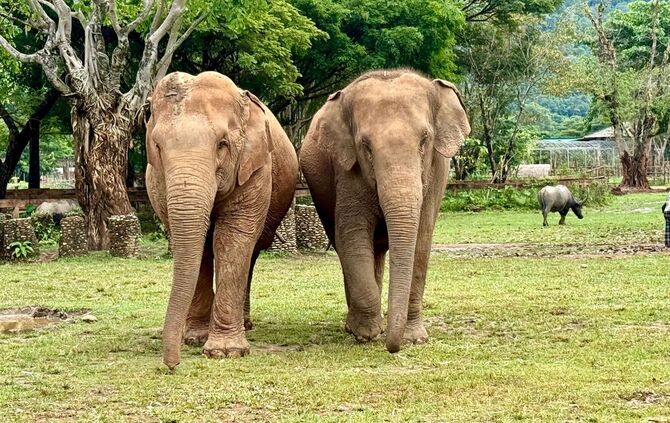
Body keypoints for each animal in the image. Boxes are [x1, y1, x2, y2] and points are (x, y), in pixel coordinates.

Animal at [146, 71, 298, 369]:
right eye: (157, 146)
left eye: (222, 144)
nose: (172, 365)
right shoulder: (157, 181)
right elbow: (197, 246)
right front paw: (194, 338)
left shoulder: (255, 169)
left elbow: (232, 239)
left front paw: (226, 352)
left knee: (252, 252)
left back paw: (246, 324)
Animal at [299, 69, 471, 353]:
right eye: (366, 146)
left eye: (425, 140)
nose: (393, 348)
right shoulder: (347, 171)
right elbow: (352, 237)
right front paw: (366, 334)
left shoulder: (436, 173)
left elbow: (421, 242)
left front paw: (415, 339)